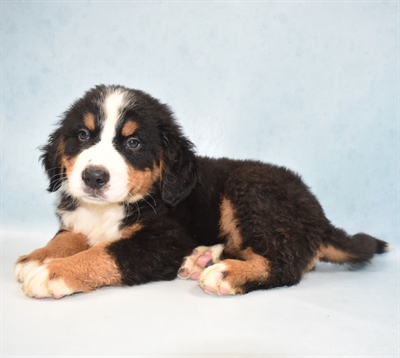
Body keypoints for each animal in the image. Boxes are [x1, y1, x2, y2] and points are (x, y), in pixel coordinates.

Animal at [13, 84, 390, 300]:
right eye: (82, 135)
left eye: (133, 143)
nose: (93, 177)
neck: (109, 209)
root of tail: (317, 212)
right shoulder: (79, 219)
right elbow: (68, 237)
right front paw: (38, 256)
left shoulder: (164, 240)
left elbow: (104, 253)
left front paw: (53, 273)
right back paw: (204, 258)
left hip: (251, 192)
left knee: (288, 263)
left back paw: (226, 273)